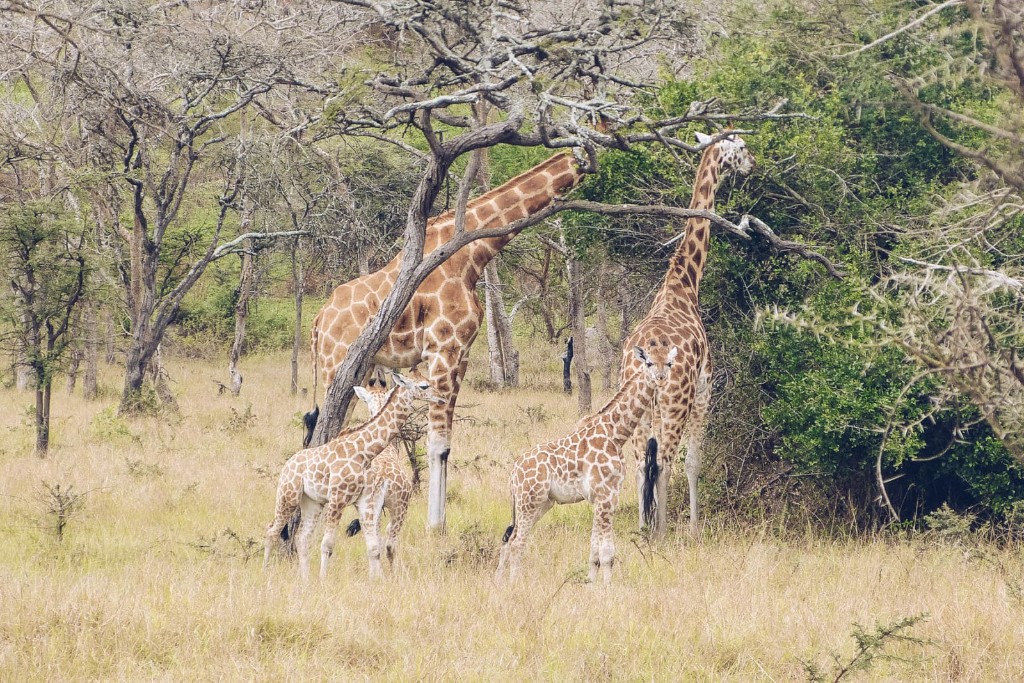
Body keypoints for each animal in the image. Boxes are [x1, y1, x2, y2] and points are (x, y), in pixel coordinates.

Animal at [308, 152, 586, 532]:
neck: (471, 256)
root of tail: (319, 320)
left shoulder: (462, 353)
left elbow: (447, 443)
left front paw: (439, 524)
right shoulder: (443, 349)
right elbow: (437, 442)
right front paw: (434, 527)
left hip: (359, 369)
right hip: (335, 364)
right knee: (325, 429)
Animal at [497, 345, 677, 584]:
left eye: (669, 363)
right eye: (648, 362)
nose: (661, 378)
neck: (616, 433)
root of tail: (513, 474)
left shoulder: (602, 497)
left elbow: (594, 550)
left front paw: (590, 583)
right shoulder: (607, 495)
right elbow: (607, 553)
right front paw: (607, 586)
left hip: (540, 503)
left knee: (510, 537)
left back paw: (500, 581)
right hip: (529, 501)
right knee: (517, 541)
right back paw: (515, 582)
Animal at [622, 131, 756, 538]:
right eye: (741, 147)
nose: (753, 164)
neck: (684, 283)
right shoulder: (704, 388)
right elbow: (694, 461)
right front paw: (695, 528)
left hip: (641, 410)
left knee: (640, 465)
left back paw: (642, 529)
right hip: (674, 405)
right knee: (664, 462)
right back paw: (663, 533)